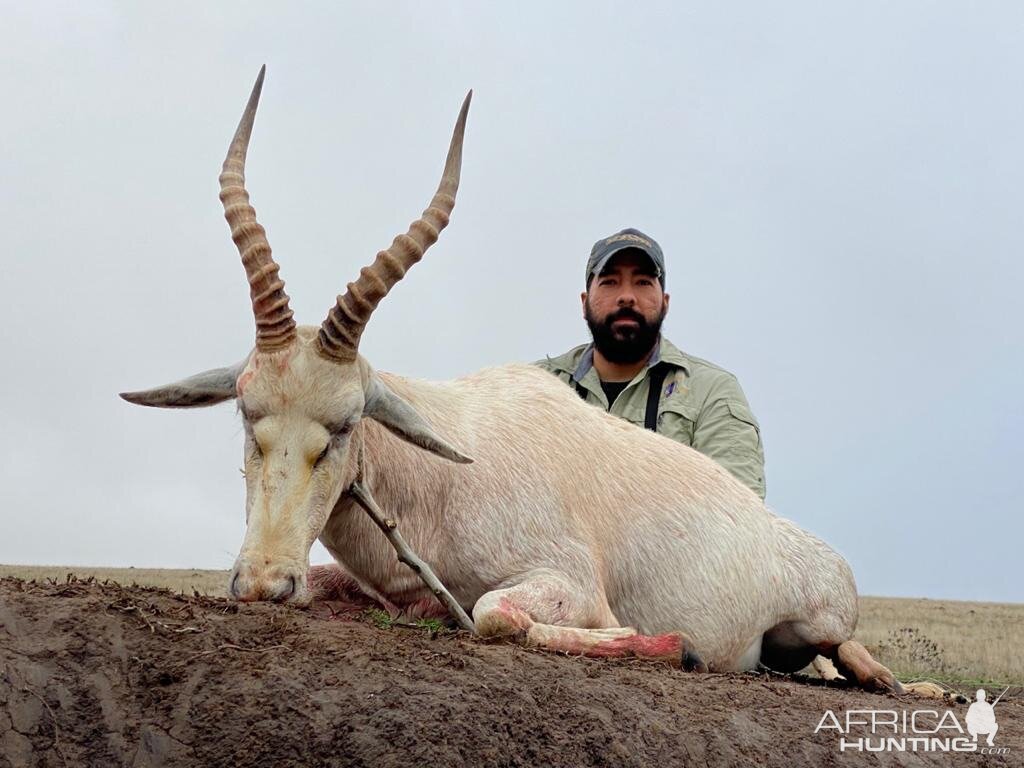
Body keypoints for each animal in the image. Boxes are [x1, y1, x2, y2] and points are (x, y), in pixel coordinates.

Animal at [119, 70, 913, 696]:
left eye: (344, 426)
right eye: (245, 416)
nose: (262, 582)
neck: (443, 475)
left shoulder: (569, 583)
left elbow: (496, 616)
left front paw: (667, 646)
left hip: (821, 618)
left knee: (848, 655)